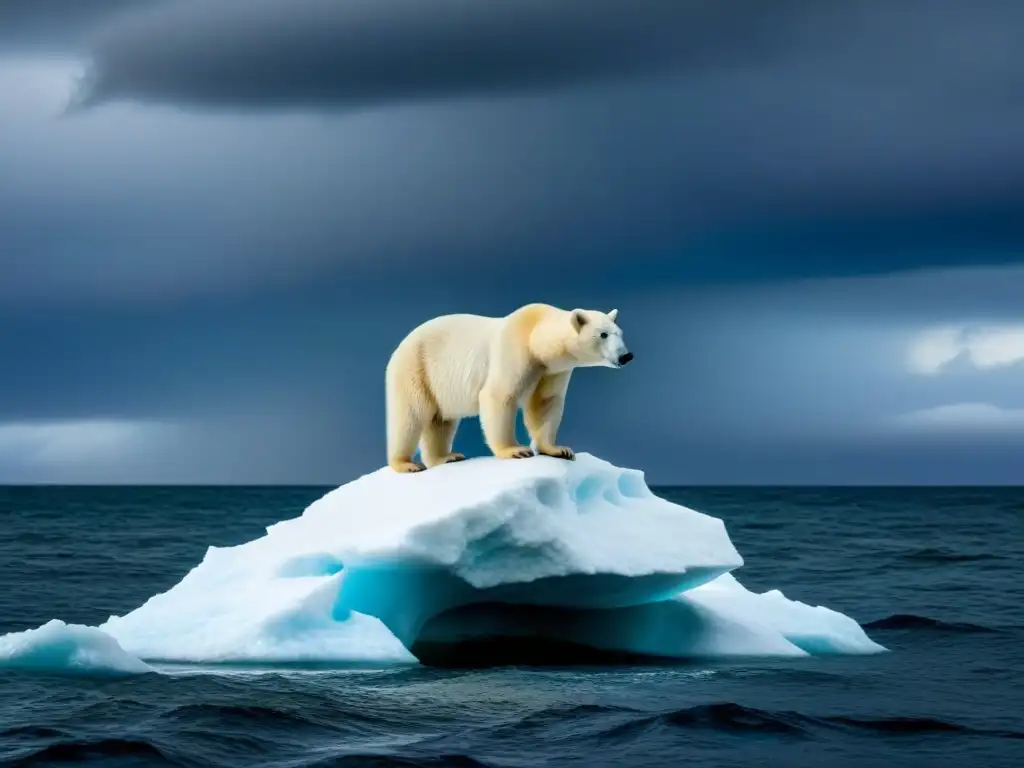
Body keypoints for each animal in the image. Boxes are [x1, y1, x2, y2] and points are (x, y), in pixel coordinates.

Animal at [385, 302, 632, 473]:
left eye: (619, 333)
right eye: (603, 334)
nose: (626, 355)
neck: (535, 334)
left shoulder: (552, 370)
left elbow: (545, 402)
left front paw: (558, 449)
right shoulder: (514, 350)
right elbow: (499, 395)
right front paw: (515, 450)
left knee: (441, 421)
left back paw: (445, 457)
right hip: (416, 369)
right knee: (411, 415)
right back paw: (405, 464)